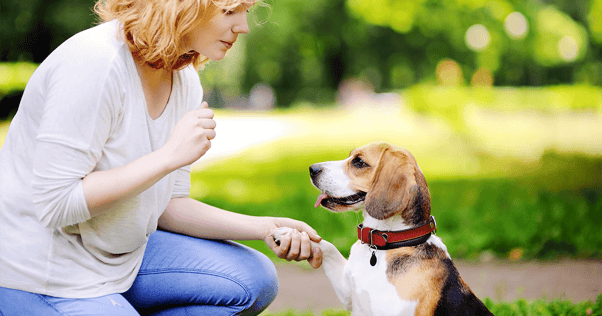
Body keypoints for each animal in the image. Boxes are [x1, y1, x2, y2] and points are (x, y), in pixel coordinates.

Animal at [274, 143, 490, 316]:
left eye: (359, 162)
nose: (312, 169)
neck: (382, 246)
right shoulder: (348, 294)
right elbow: (327, 246)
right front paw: (290, 233)